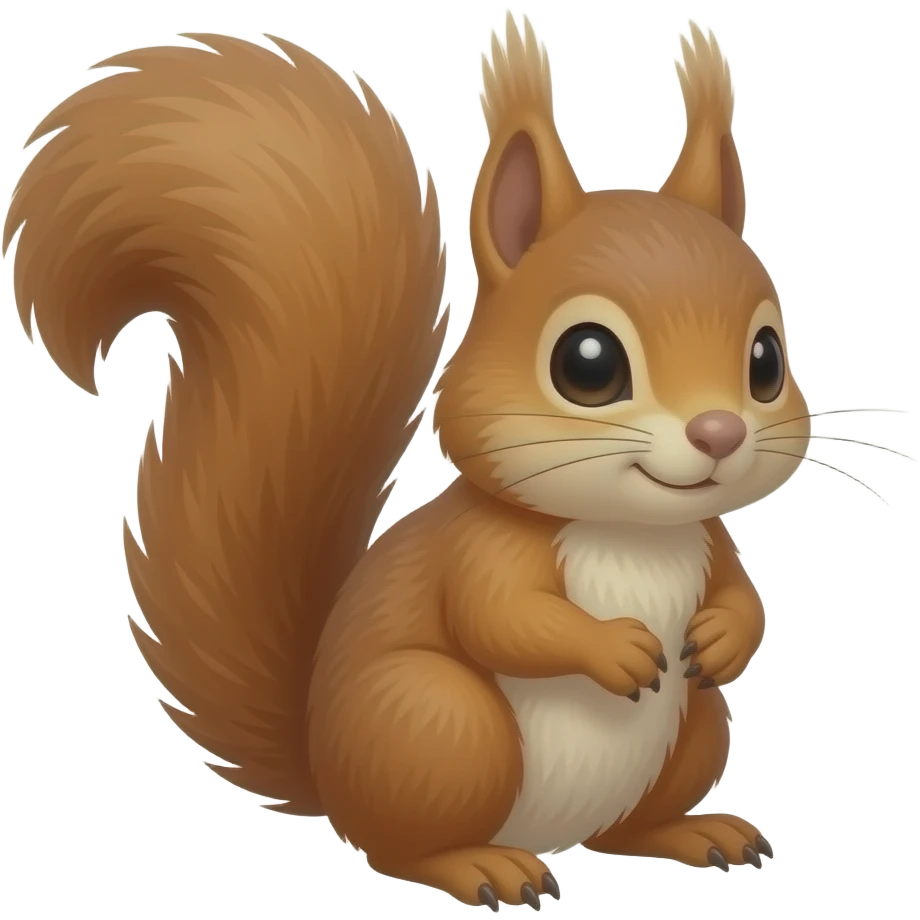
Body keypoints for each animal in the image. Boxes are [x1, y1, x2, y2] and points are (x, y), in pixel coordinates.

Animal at [4, 16, 804, 911]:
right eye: (587, 362)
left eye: (766, 360)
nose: (718, 432)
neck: (629, 532)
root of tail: (326, 772)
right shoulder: (482, 551)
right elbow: (503, 618)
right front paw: (614, 648)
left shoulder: (709, 540)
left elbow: (745, 599)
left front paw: (725, 636)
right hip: (436, 723)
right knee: (398, 846)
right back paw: (480, 866)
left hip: (696, 728)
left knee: (624, 828)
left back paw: (691, 832)